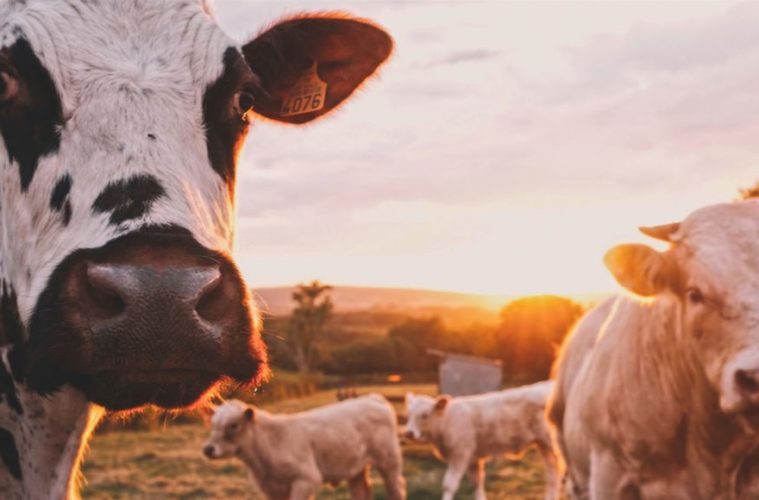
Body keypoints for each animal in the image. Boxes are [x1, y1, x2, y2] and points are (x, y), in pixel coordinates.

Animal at [202, 395, 407, 500]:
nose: (208, 449)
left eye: (233, 425)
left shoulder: (306, 479)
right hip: (356, 468)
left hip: (390, 462)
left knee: (396, 488)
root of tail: (373, 398)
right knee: (361, 492)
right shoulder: (271, 489)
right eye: (213, 424)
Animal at [404, 382, 560, 500]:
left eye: (425, 415)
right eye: (409, 414)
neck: (447, 420)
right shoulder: (473, 458)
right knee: (552, 474)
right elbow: (477, 483)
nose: (408, 433)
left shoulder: (460, 454)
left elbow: (449, 485)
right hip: (544, 445)